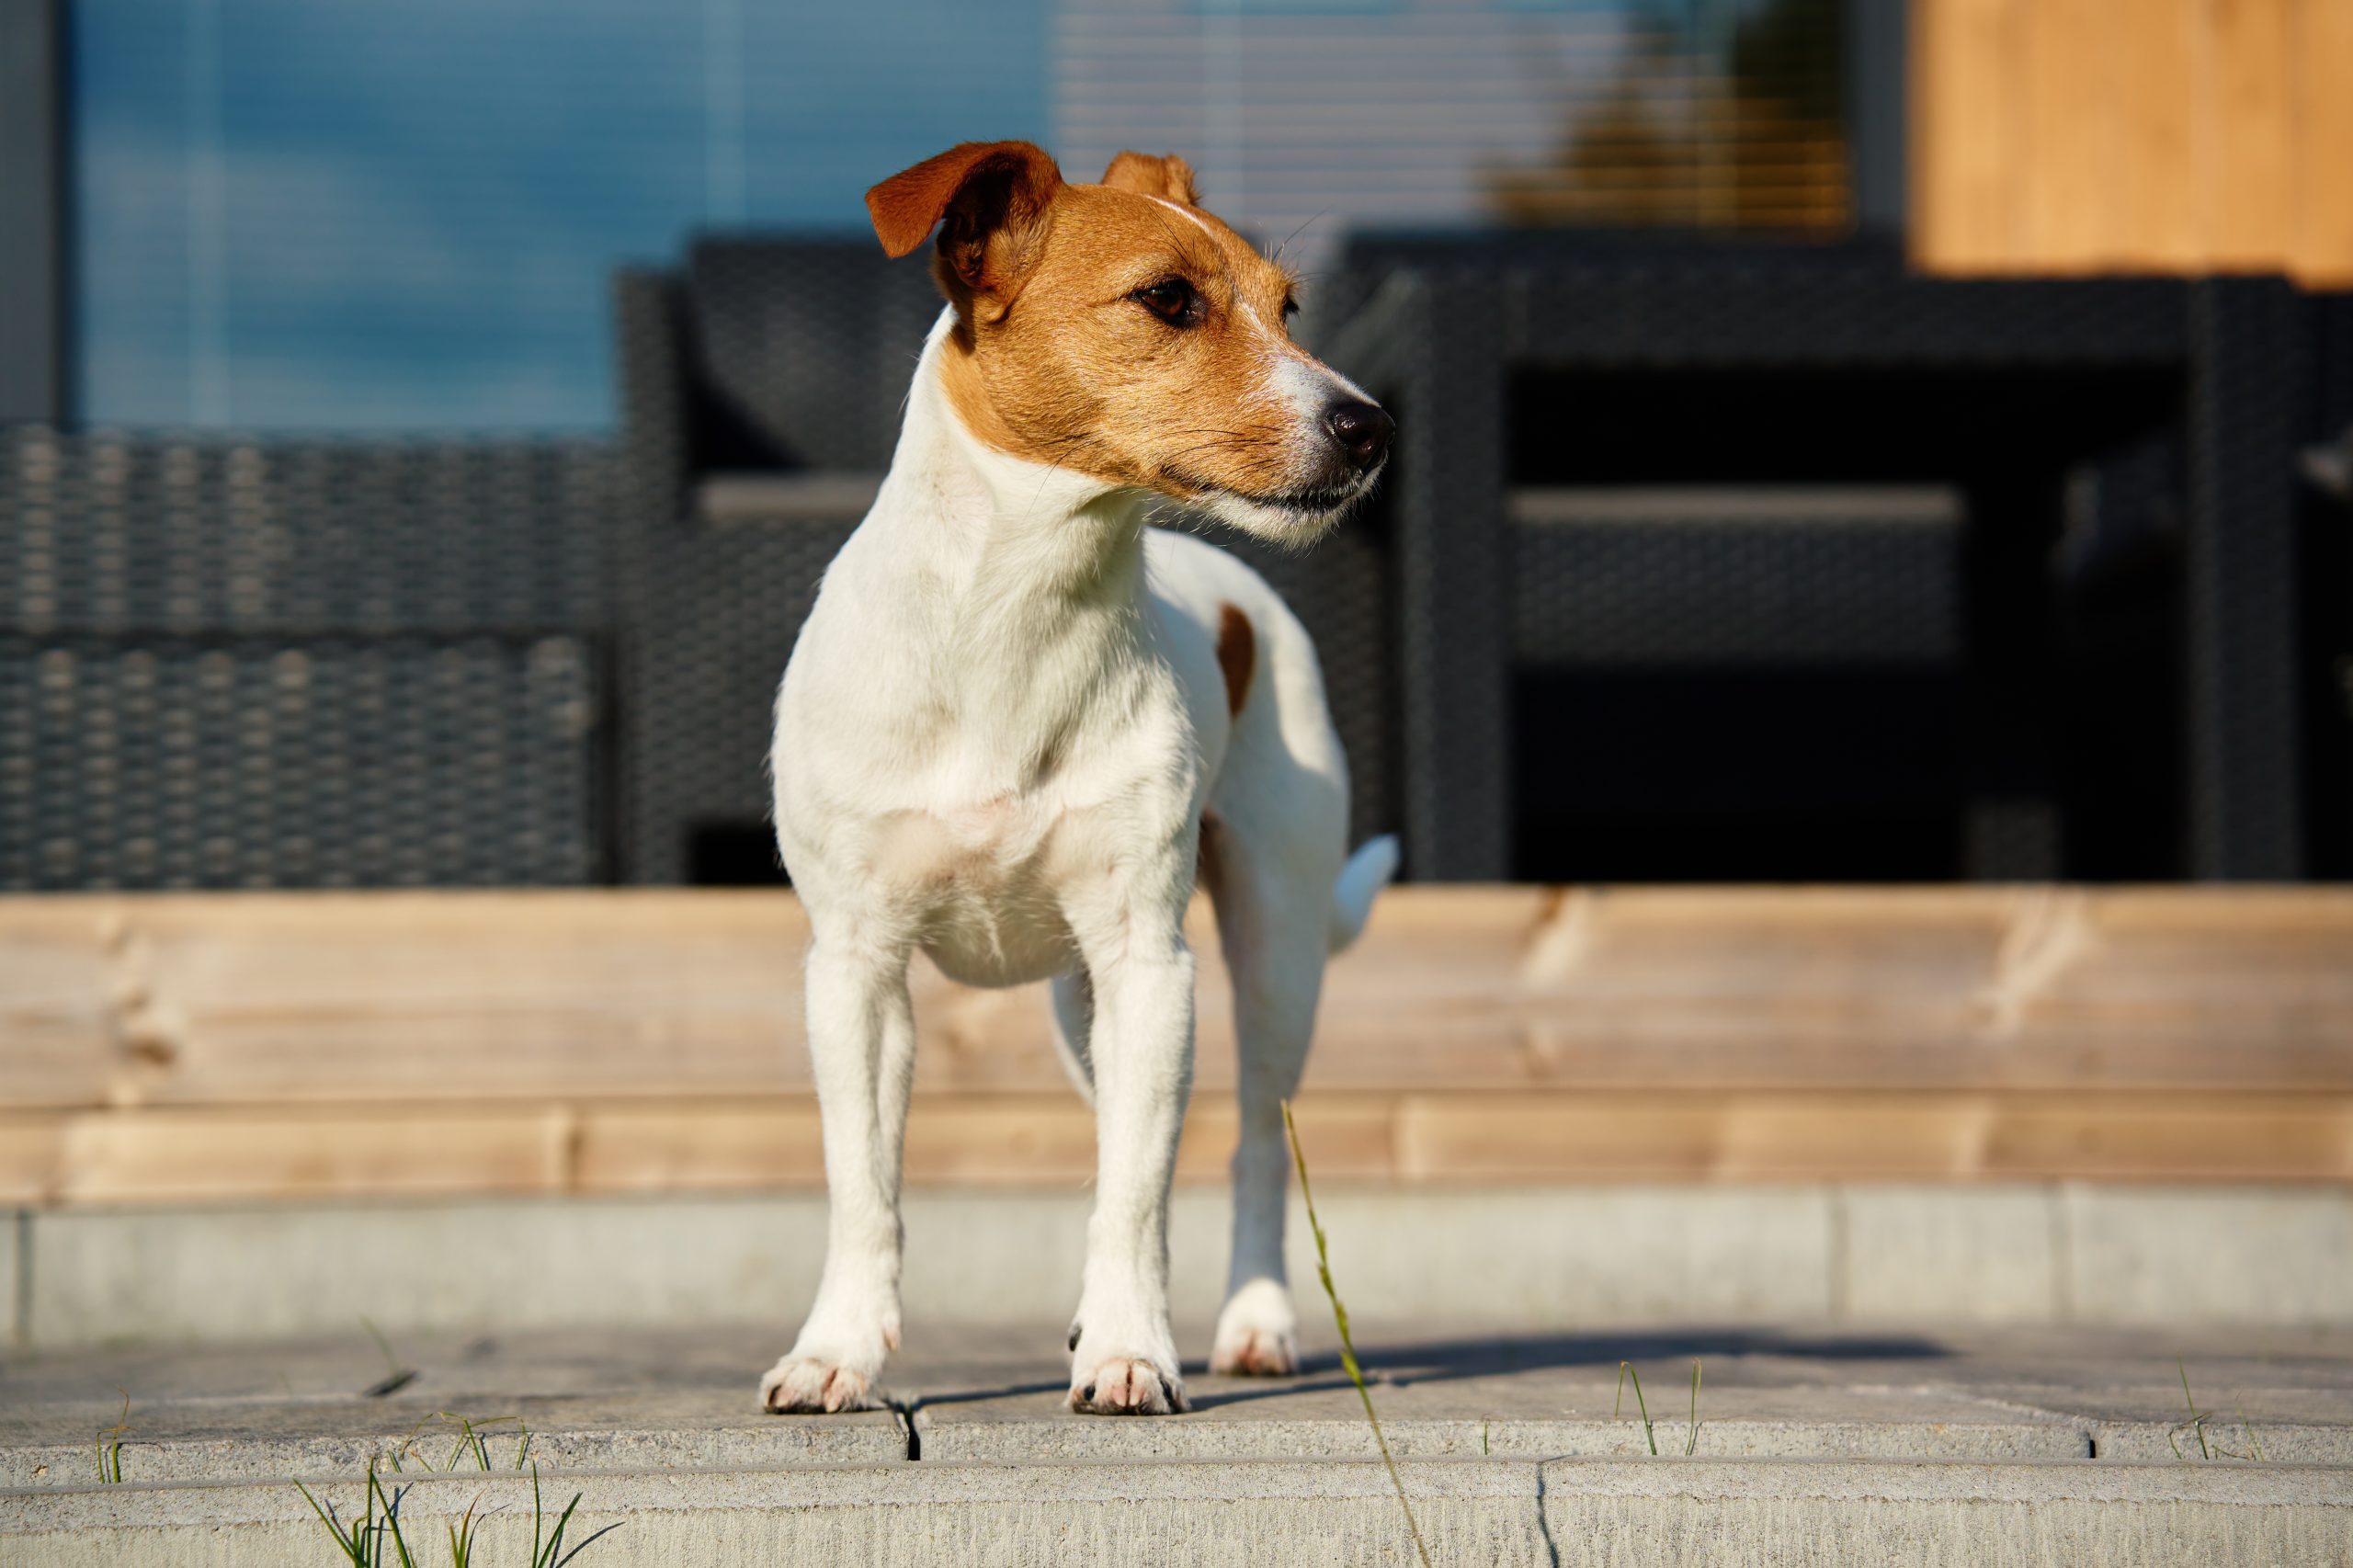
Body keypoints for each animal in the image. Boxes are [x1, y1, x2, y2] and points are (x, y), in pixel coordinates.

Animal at [762, 143, 1392, 1412]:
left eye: (1289, 307)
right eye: (1168, 300)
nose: (1370, 425)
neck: (1016, 614)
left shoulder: (1150, 958)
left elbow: (1138, 1191)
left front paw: (1128, 1350)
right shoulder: (855, 969)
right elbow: (865, 1186)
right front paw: (836, 1349)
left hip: (1271, 953)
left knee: (1246, 1144)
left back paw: (1249, 1321)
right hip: (1077, 1004)